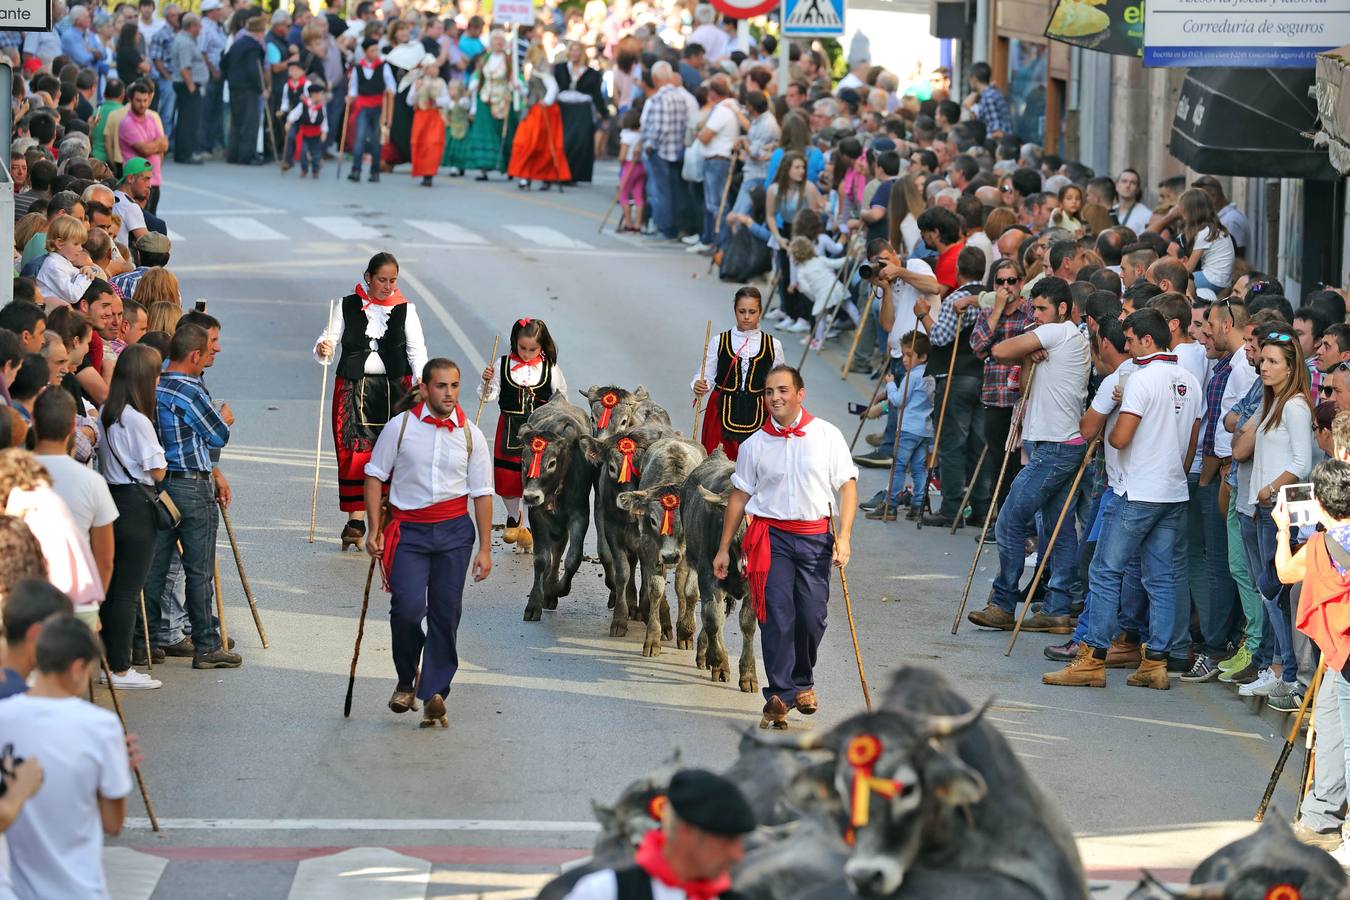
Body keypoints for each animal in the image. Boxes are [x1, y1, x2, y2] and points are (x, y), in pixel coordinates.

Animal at [518, 399, 599, 620]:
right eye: (524, 461)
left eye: (552, 463)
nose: (530, 496)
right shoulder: (537, 514)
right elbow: (540, 559)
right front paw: (534, 603)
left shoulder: (580, 515)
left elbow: (573, 558)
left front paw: (556, 590)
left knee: (559, 548)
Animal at [577, 426, 675, 636]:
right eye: (612, 468)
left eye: (642, 467)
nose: (625, 501)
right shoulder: (612, 530)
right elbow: (623, 572)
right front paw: (620, 620)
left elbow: (653, 575)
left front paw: (661, 619)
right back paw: (633, 606)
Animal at [618, 439, 707, 658]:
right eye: (652, 520)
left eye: (683, 519)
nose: (670, 556)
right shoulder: (650, 548)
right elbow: (656, 590)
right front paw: (652, 638)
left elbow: (691, 591)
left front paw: (686, 631)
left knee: (681, 585)